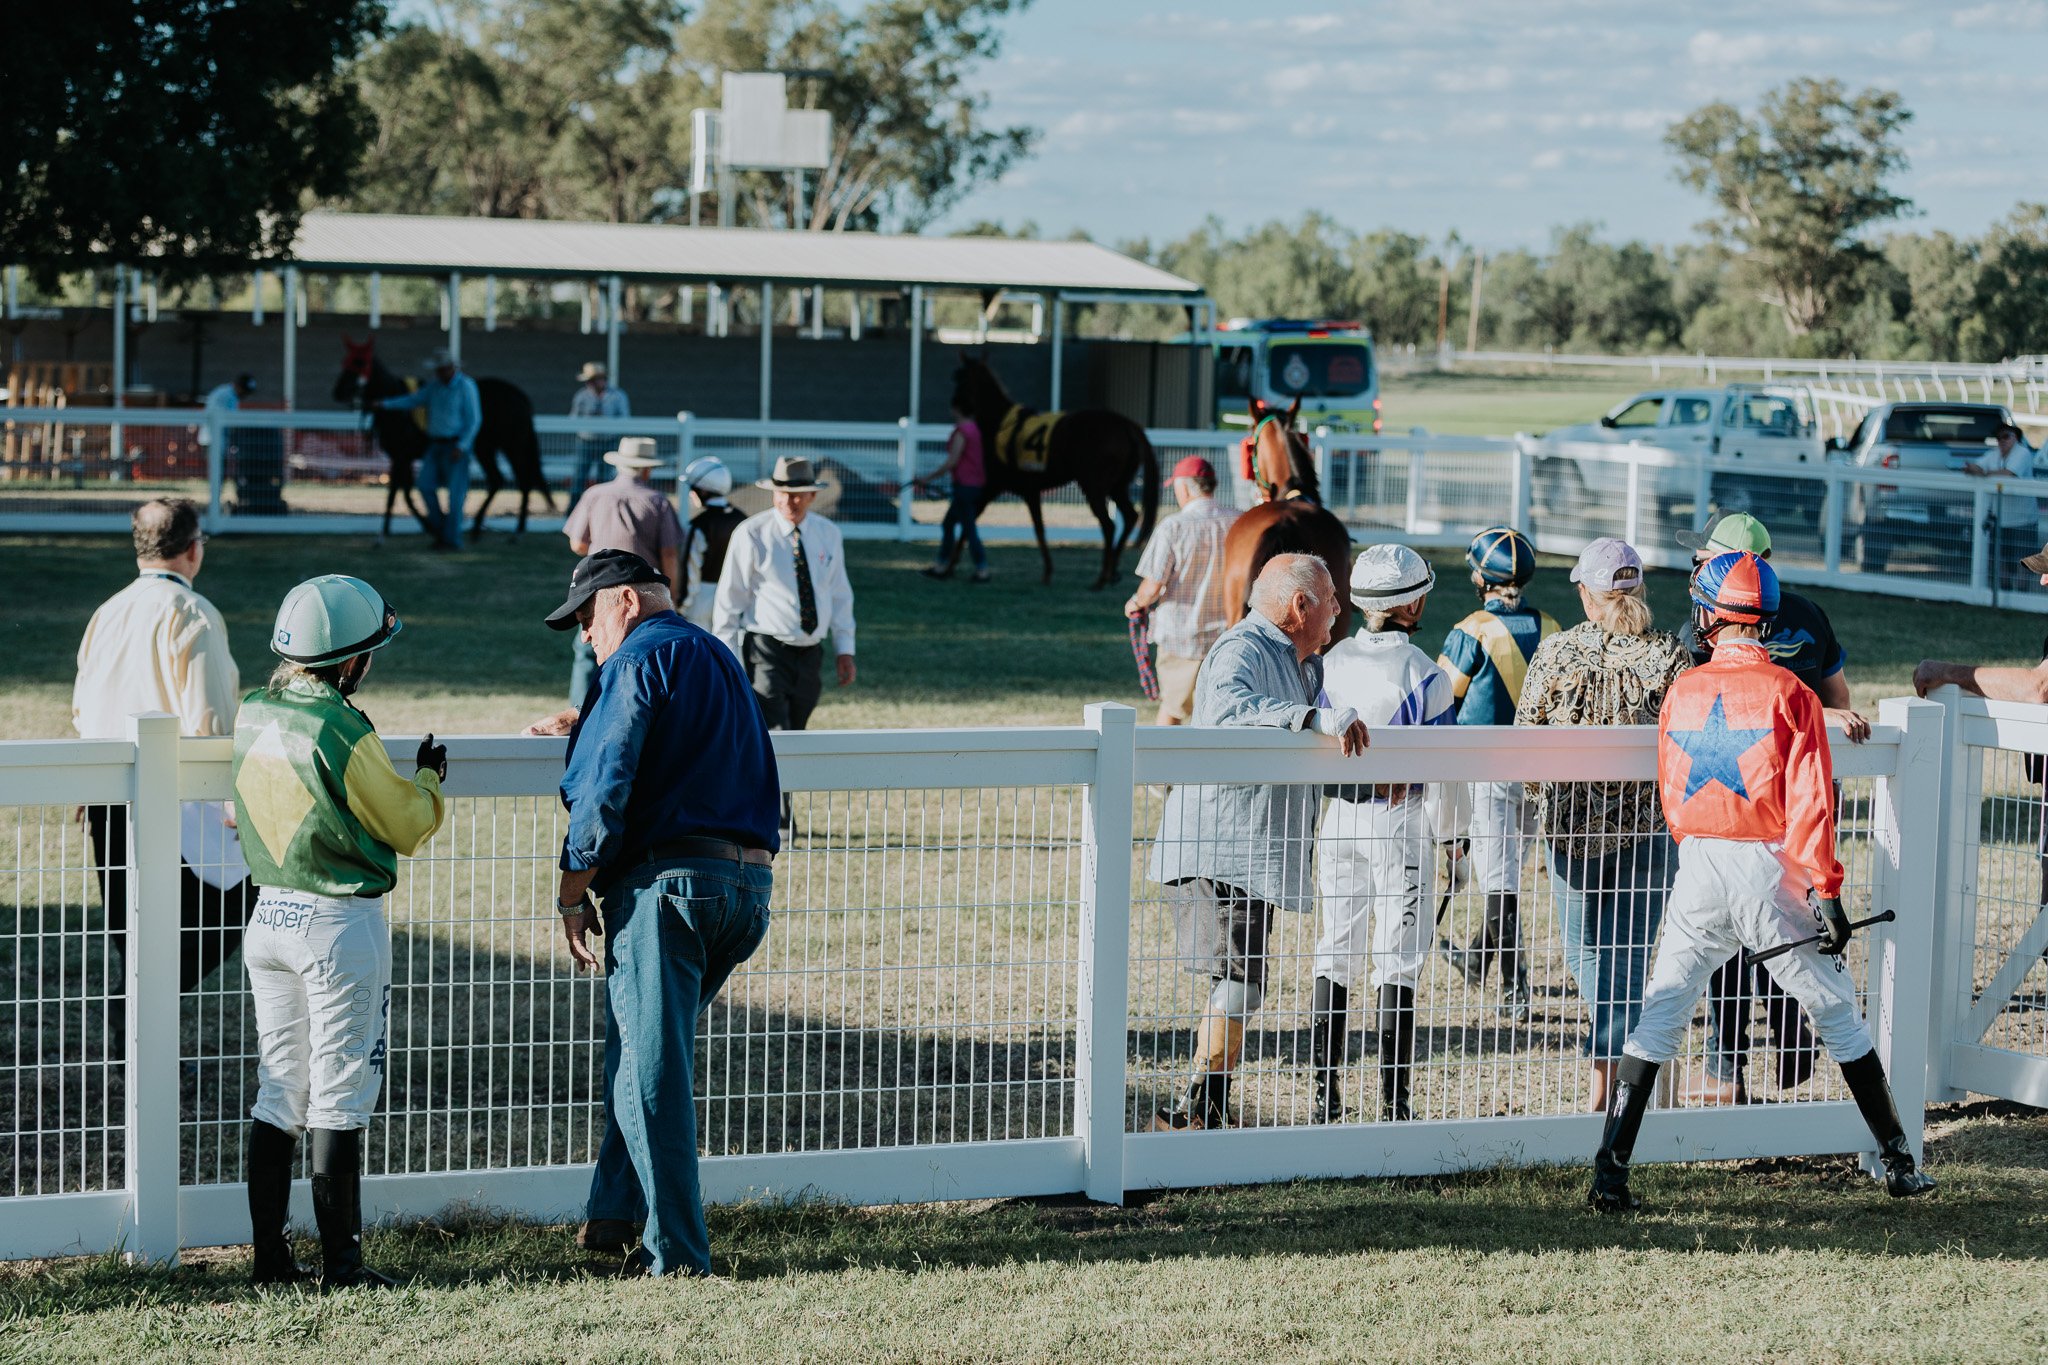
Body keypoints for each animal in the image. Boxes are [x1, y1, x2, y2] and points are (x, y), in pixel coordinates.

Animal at [337, 335, 557, 540]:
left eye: (360, 362)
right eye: (346, 361)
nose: (337, 391)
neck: (398, 412)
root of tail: (520, 396)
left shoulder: (402, 456)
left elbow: (396, 494)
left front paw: (388, 533)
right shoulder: (400, 458)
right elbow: (406, 493)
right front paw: (431, 525)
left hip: (510, 446)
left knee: (521, 480)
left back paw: (515, 530)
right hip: (490, 448)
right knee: (499, 479)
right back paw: (481, 527)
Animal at [950, 351, 1163, 589]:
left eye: (961, 377)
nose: (955, 403)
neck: (1001, 424)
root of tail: (1126, 423)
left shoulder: (995, 487)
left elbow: (969, 523)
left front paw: (948, 567)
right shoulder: (1029, 491)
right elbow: (1039, 529)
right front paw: (1047, 572)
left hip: (1094, 486)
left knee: (1108, 525)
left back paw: (1101, 578)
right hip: (1117, 486)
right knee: (1130, 516)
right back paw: (1113, 571)